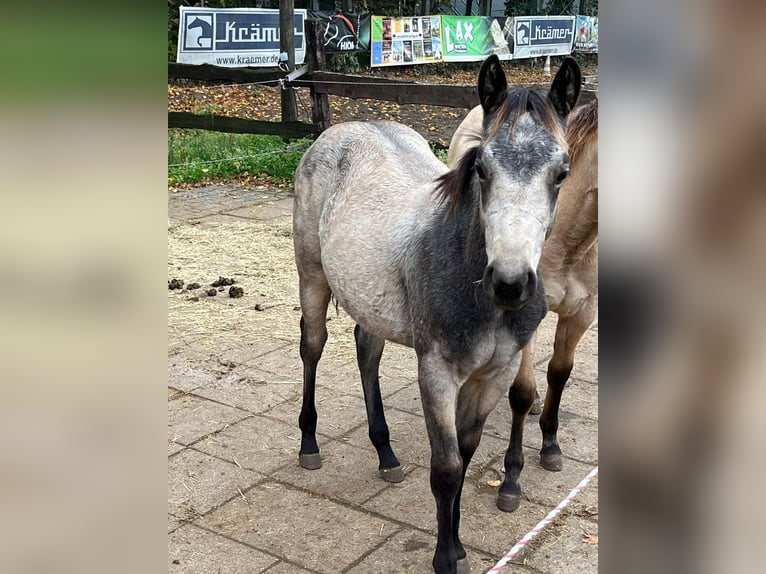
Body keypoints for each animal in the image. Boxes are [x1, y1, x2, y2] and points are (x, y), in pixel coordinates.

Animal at [292, 55, 581, 573]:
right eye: (482, 168)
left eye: (562, 173)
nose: (510, 283)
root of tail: (342, 128)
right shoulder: (437, 370)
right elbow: (445, 468)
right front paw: (446, 557)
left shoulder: (495, 372)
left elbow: (465, 455)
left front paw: (459, 543)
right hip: (312, 279)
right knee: (313, 346)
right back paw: (309, 444)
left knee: (367, 352)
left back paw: (386, 454)